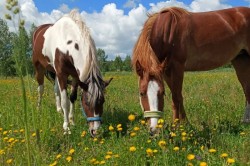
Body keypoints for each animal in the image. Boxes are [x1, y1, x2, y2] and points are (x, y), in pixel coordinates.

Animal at [132, 6, 250, 134]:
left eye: (162, 93)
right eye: (141, 93)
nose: (154, 130)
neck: (167, 32)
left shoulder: (177, 67)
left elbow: (176, 98)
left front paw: (176, 127)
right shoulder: (166, 71)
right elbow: (177, 96)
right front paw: (185, 125)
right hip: (240, 59)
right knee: (246, 88)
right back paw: (246, 121)